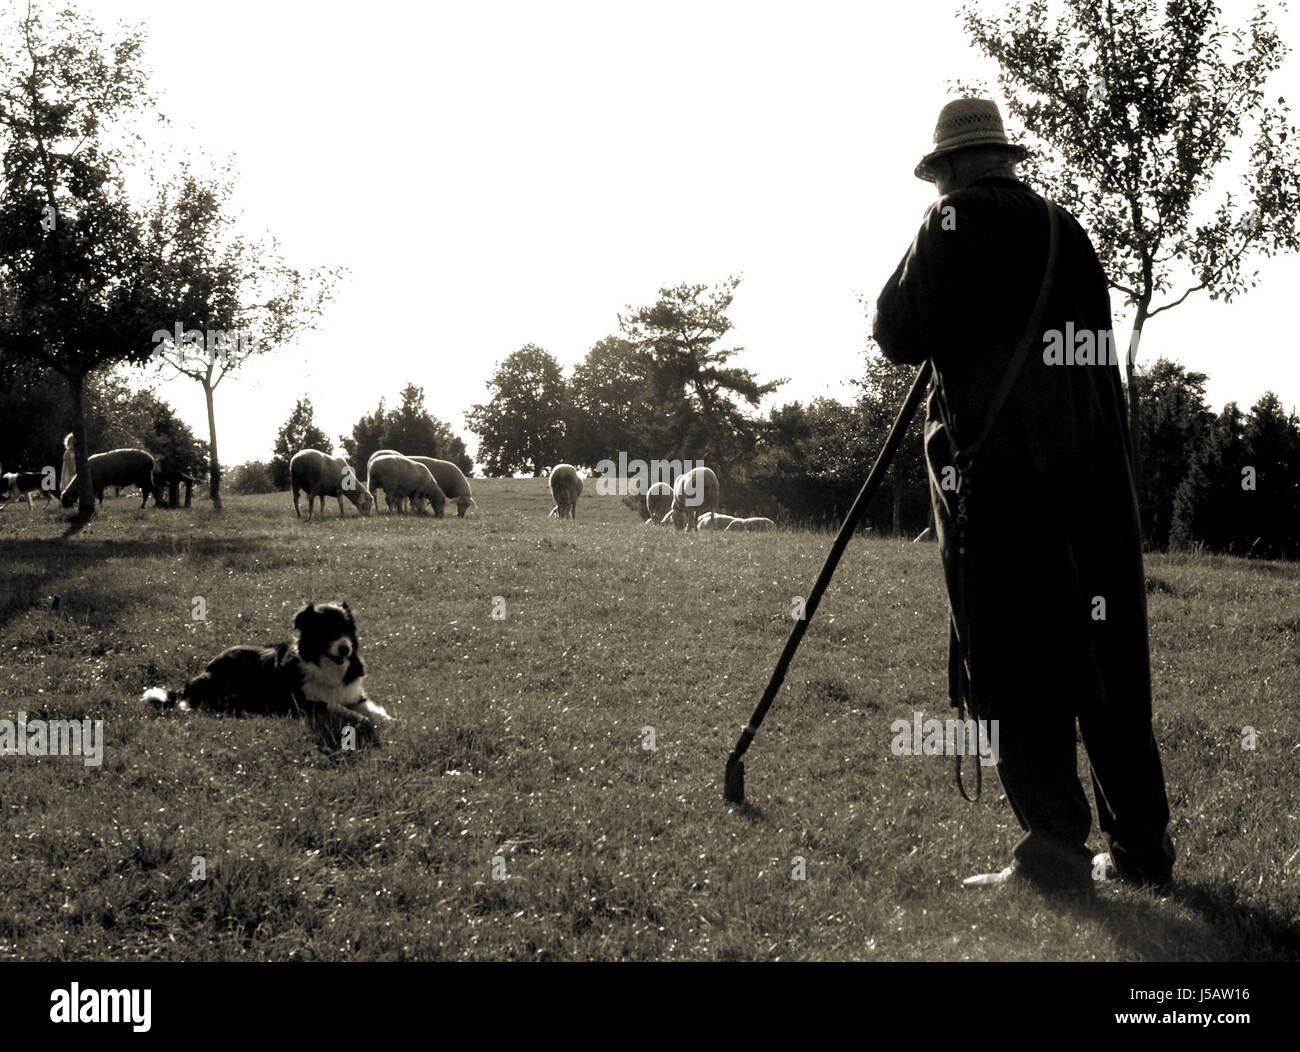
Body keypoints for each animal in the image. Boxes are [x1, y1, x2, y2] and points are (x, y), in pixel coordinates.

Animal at [144, 598, 390, 749]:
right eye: (326, 630)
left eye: (347, 628)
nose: (345, 649)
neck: (327, 666)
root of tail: (203, 671)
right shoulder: (303, 703)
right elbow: (339, 708)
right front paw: (364, 721)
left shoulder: (354, 694)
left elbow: (375, 709)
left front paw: (389, 721)